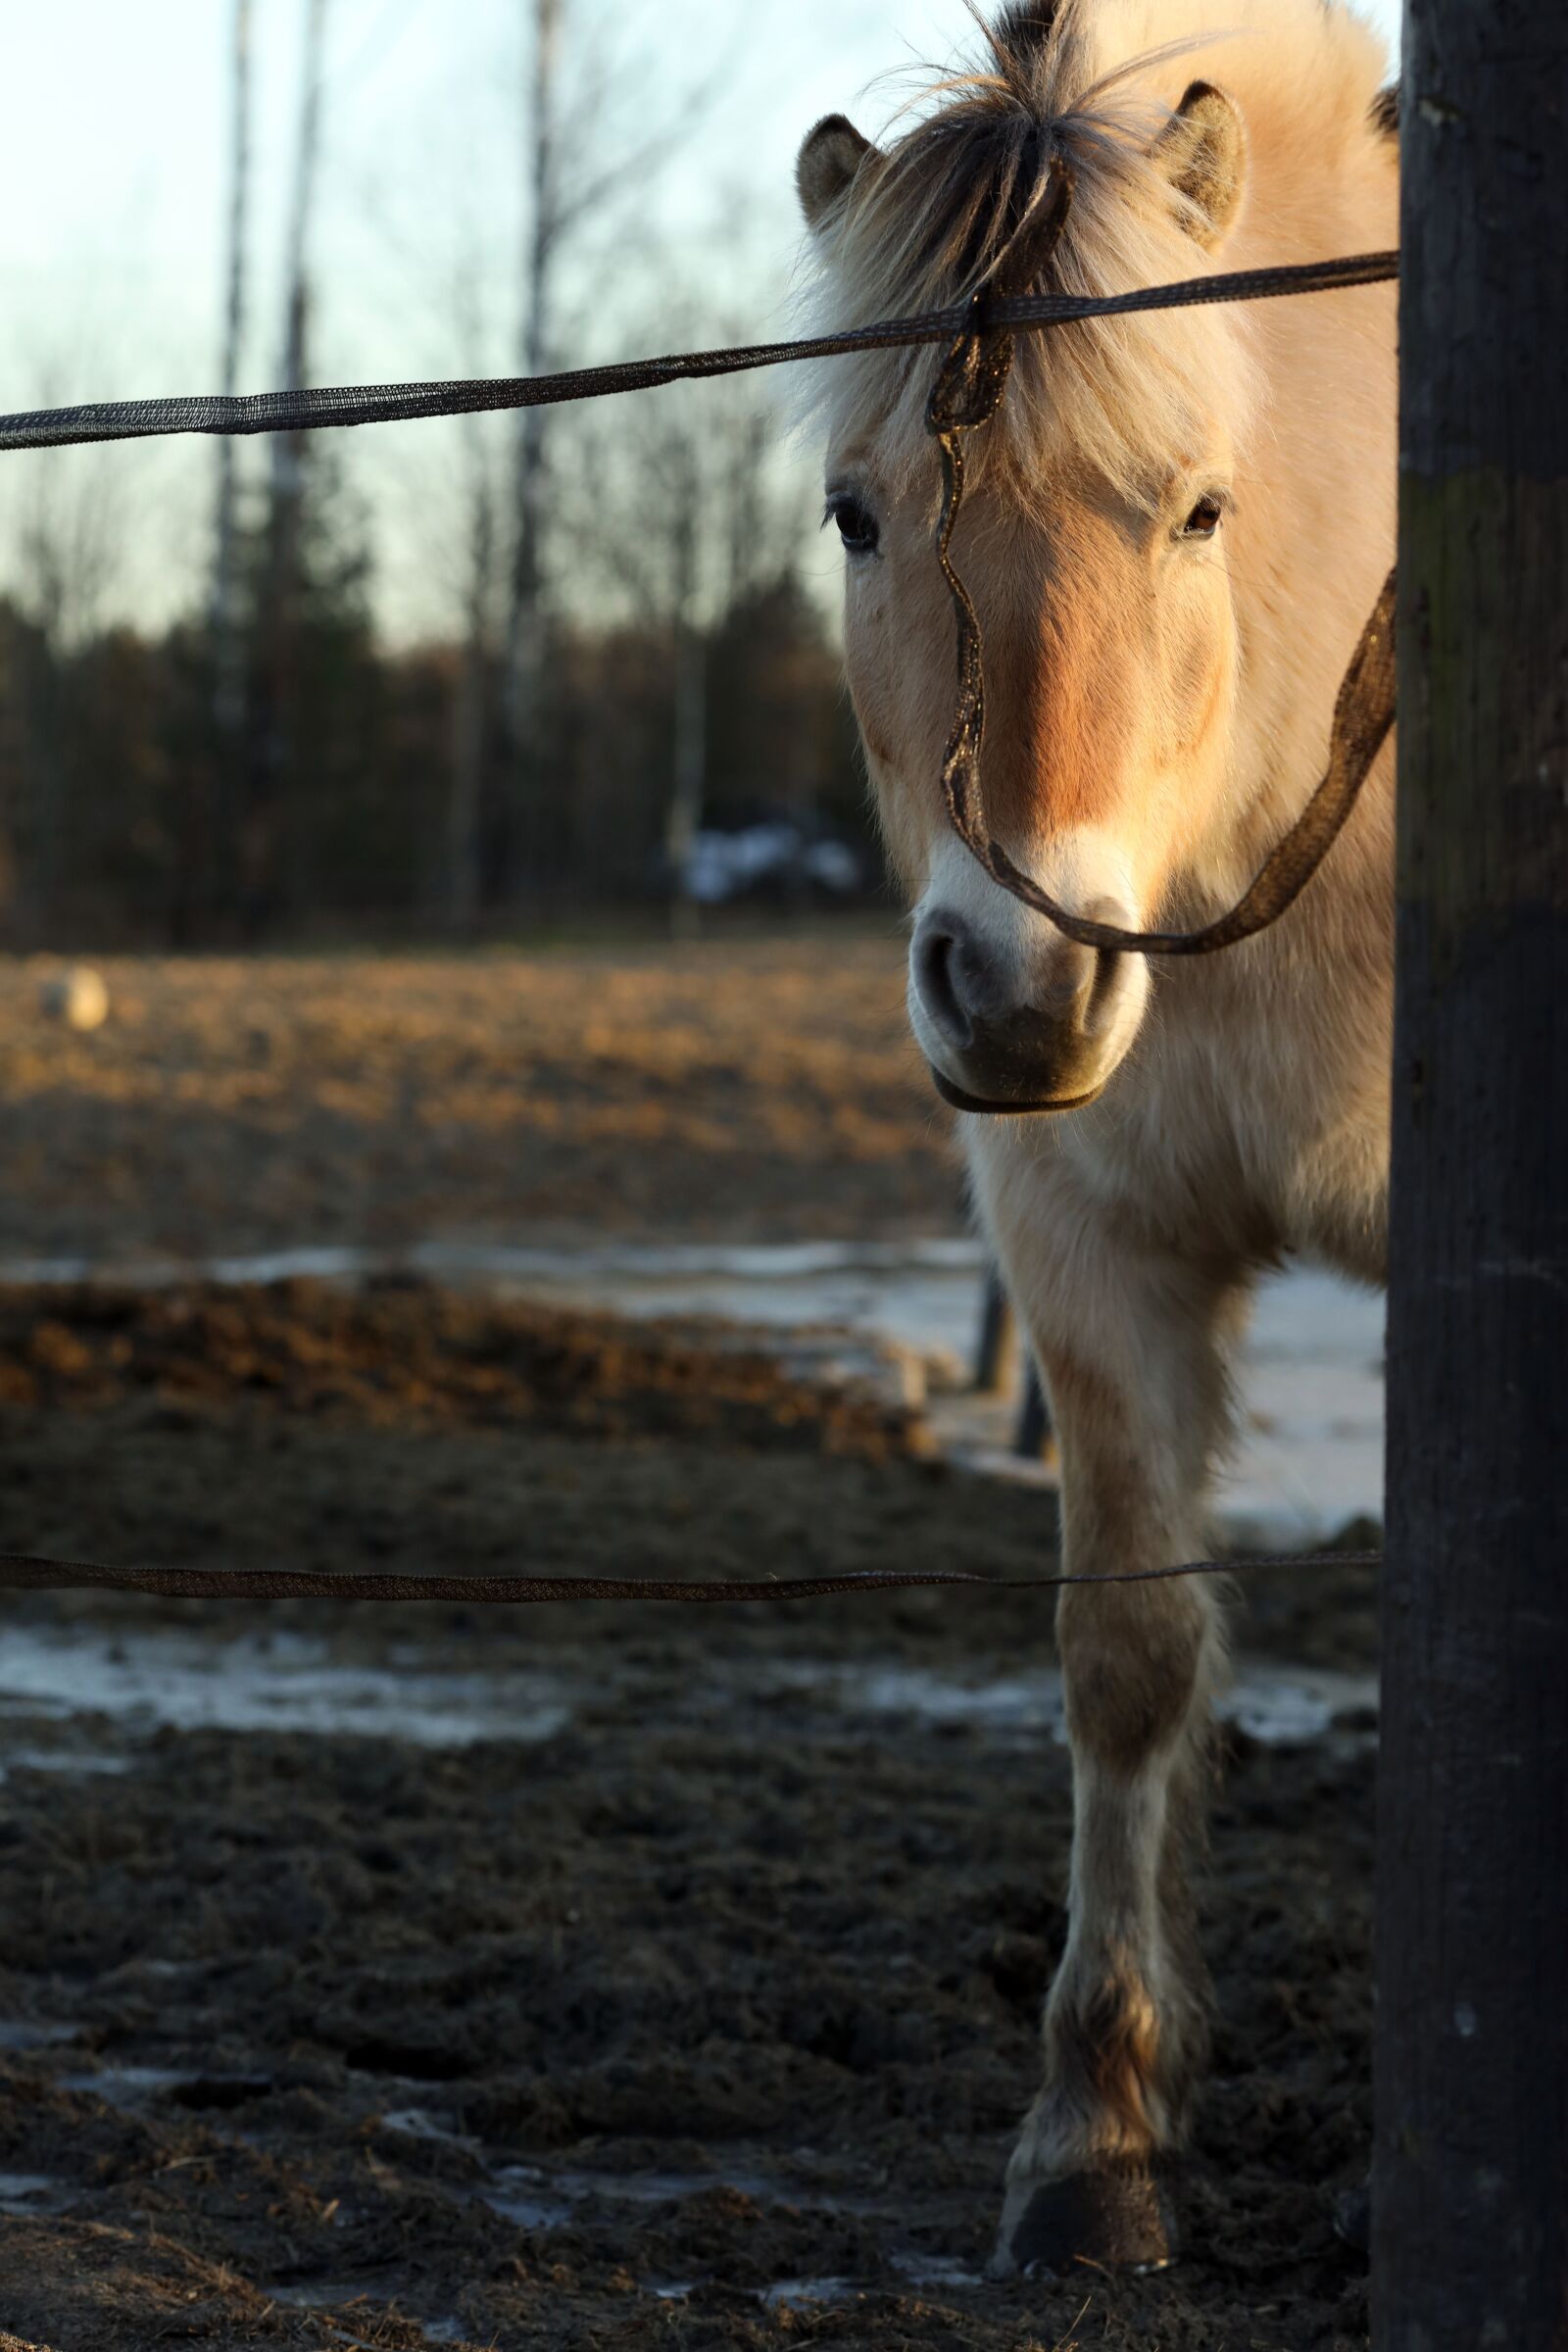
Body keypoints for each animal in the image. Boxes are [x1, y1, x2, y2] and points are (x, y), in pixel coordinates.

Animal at [799, 0, 1400, 2277]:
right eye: (855, 515)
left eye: (1197, 512)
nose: (1020, 985)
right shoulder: (1079, 1238)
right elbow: (1130, 1656)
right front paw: (1096, 2145)